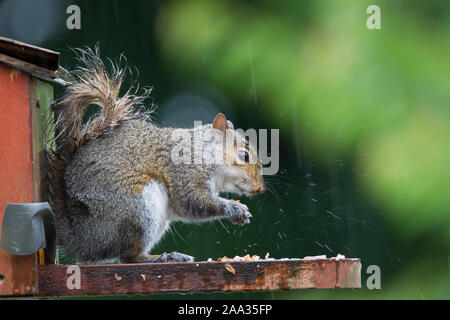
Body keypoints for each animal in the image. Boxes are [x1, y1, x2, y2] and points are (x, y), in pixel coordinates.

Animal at [48, 47, 268, 262]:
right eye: (244, 156)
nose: (260, 189)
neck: (201, 152)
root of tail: (83, 240)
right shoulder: (185, 174)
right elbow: (191, 200)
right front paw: (234, 208)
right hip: (136, 210)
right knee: (128, 257)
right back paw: (163, 257)